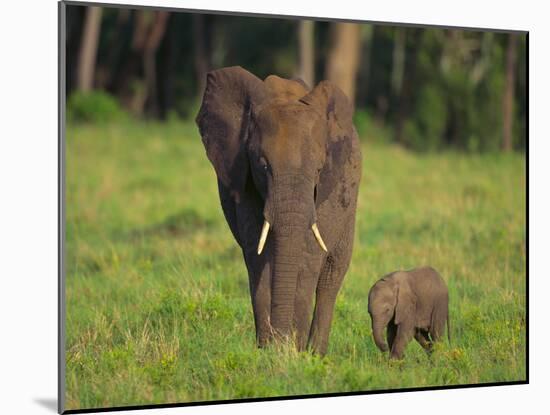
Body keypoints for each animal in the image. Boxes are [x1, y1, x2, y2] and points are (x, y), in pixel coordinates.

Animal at [197, 66, 362, 354]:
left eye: (319, 169)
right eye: (263, 166)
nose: (281, 340)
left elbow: (308, 257)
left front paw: (293, 352)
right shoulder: (243, 178)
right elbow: (257, 255)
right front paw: (270, 351)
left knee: (332, 276)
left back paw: (317, 354)